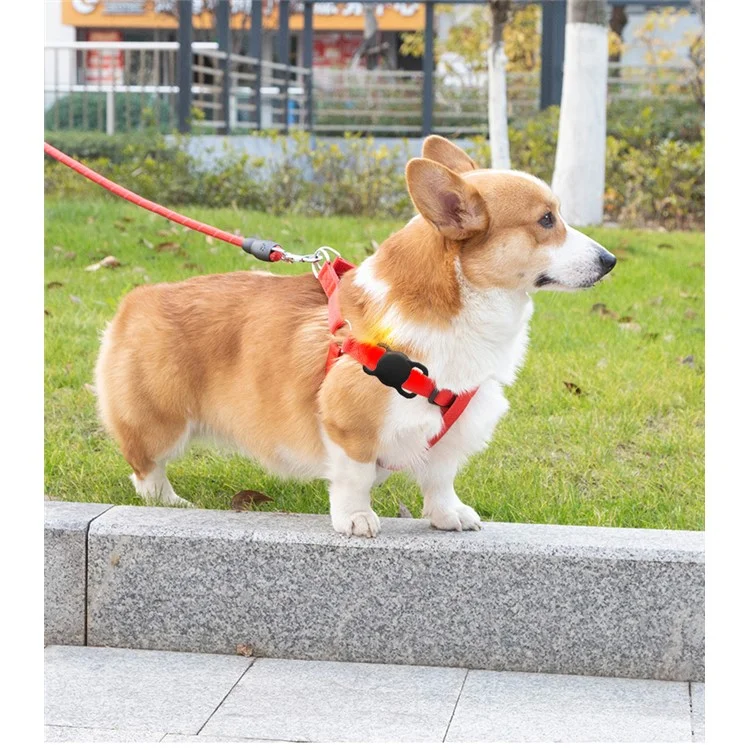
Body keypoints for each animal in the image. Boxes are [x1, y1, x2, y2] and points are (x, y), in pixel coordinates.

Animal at [95, 135, 616, 536]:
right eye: (546, 220)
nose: (610, 261)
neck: (459, 302)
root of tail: (135, 300)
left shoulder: (451, 430)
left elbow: (440, 478)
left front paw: (448, 516)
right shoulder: (348, 426)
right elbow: (355, 477)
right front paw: (356, 519)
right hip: (161, 421)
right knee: (145, 467)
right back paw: (169, 502)